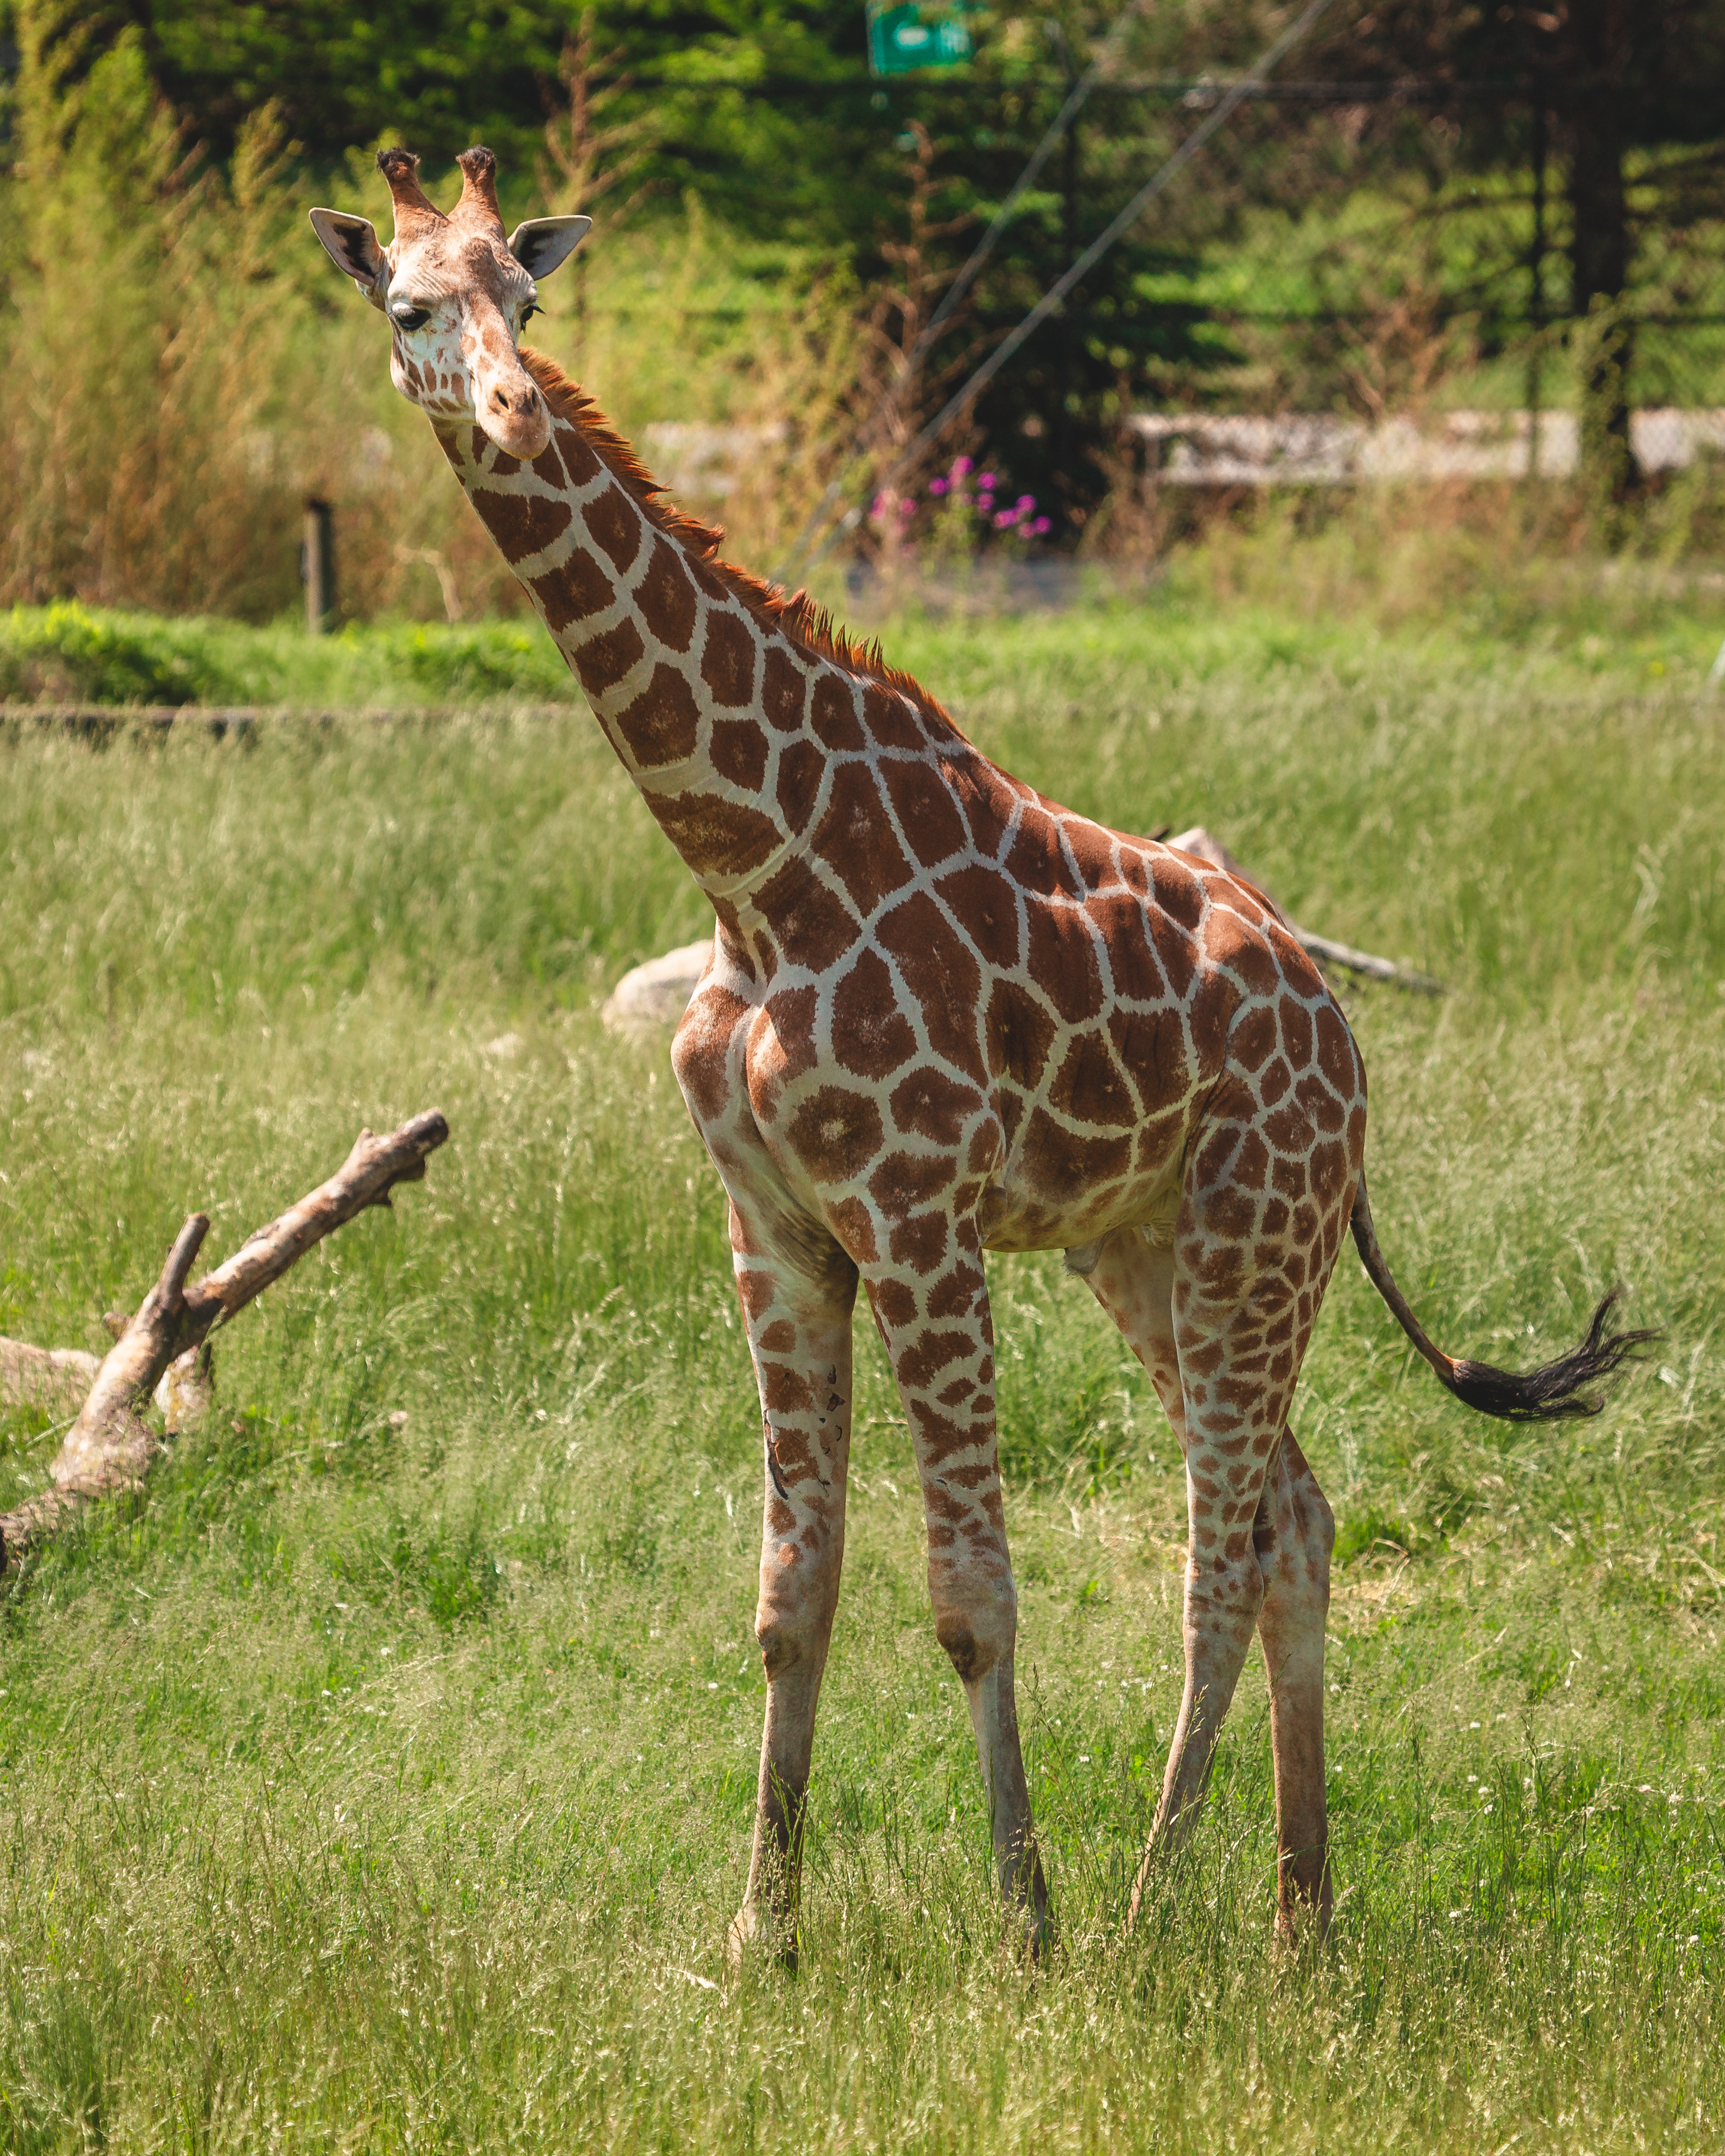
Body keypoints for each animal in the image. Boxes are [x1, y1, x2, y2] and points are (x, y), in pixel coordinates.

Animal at [310, 152, 1656, 1966]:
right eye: (407, 310)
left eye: (525, 301)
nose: (516, 410)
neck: (747, 862)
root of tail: (1341, 1033)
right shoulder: (772, 1224)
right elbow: (786, 1598)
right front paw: (759, 1937)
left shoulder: (916, 1212)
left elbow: (967, 1600)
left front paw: (1021, 1921)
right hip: (1144, 1245)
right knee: (1293, 1517)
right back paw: (1299, 1922)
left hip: (1253, 1236)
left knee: (1221, 1545)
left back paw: (1146, 1911)